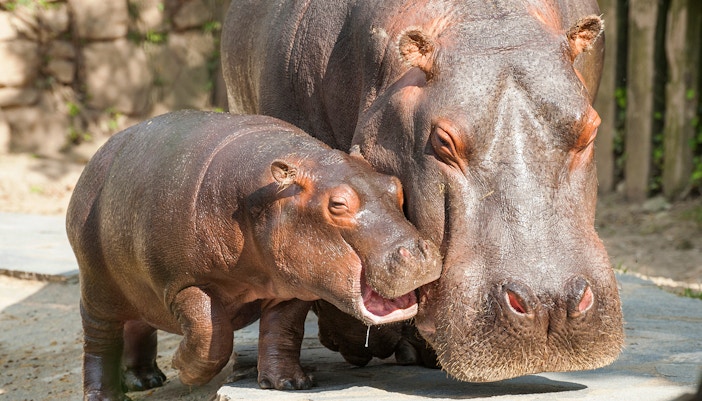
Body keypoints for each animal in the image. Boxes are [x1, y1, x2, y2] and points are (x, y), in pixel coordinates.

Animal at [66, 110, 441, 400]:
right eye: (337, 204)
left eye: (395, 185)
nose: (419, 252)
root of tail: (94, 160)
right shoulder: (182, 283)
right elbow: (211, 335)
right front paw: (182, 369)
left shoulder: (293, 286)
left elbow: (282, 330)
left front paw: (289, 383)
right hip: (97, 289)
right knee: (99, 343)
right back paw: (105, 394)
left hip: (135, 289)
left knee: (137, 324)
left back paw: (146, 380)